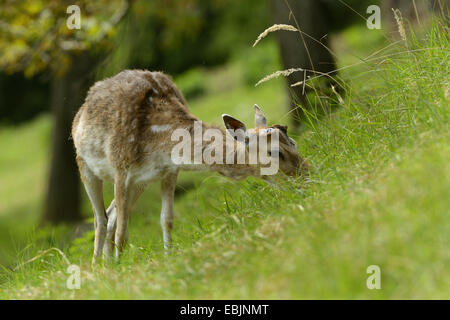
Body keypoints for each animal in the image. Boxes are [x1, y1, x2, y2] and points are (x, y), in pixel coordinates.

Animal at [72, 70, 310, 262]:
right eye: (275, 152)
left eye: (293, 142)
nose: (306, 178)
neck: (158, 143)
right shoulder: (121, 168)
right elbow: (122, 231)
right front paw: (122, 269)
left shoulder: (168, 171)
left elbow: (166, 219)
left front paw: (168, 257)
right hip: (84, 165)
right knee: (100, 219)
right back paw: (97, 267)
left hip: (141, 183)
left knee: (111, 214)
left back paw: (107, 264)